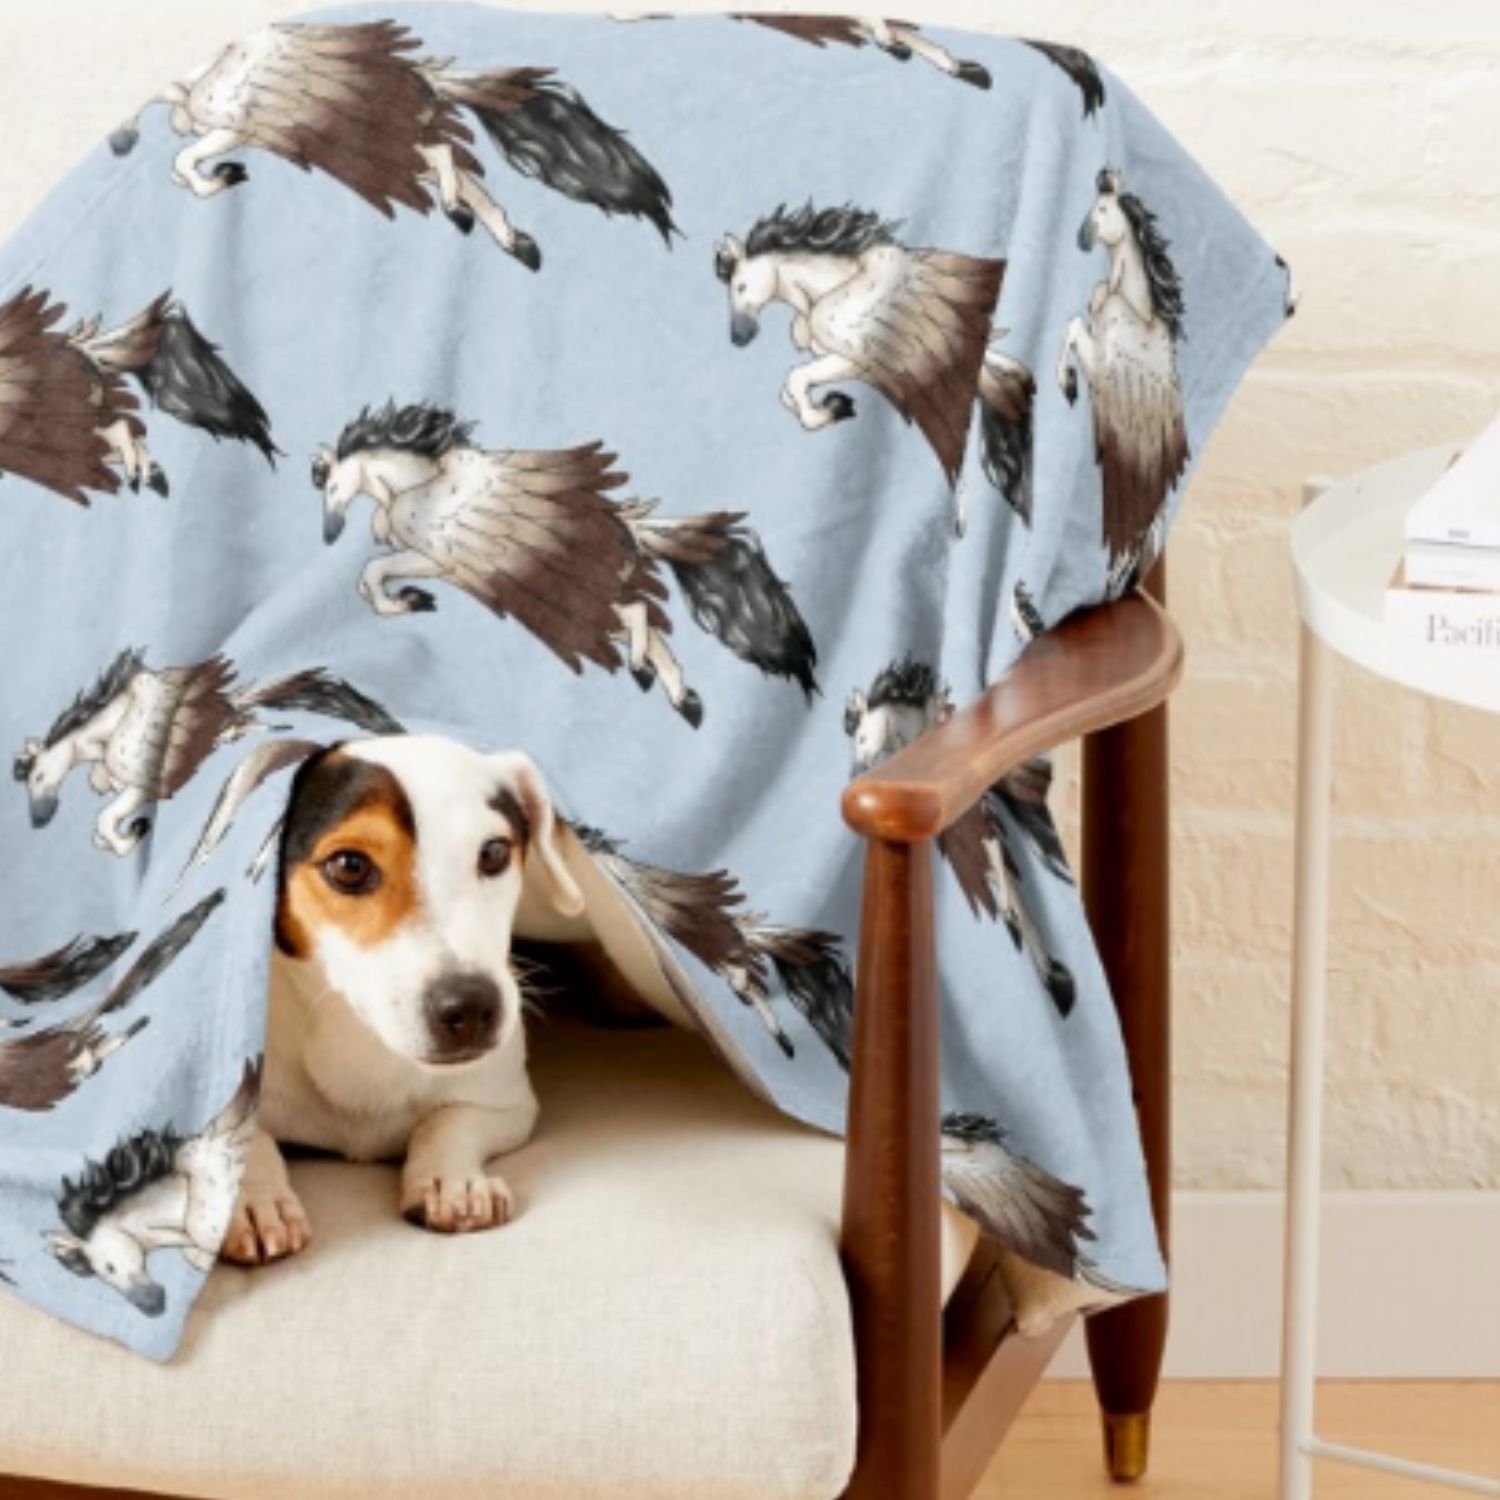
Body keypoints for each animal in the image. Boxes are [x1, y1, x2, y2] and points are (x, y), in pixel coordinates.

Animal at [219, 732, 687, 1260]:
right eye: (349, 865)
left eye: (494, 853)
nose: (471, 1007)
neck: (362, 1036)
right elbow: (251, 1139)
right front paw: (253, 1202)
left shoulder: (507, 1105)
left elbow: (448, 1122)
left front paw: (453, 1184)